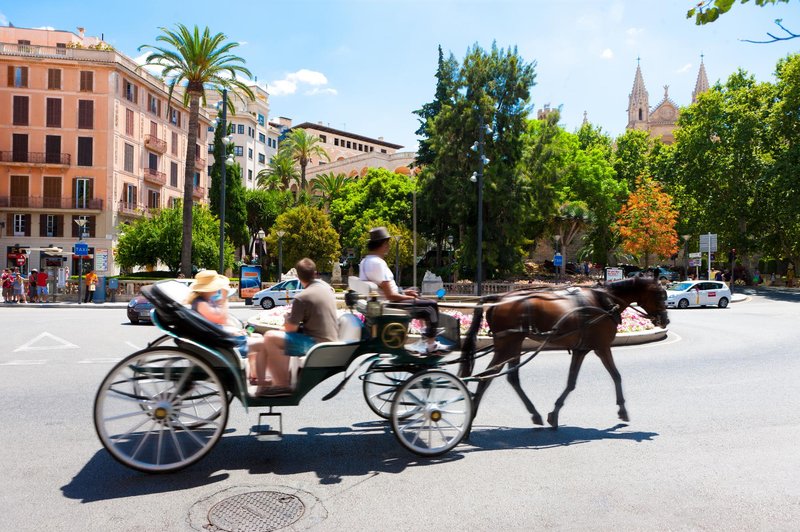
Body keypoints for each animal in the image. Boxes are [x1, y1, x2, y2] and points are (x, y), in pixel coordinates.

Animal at [456, 276, 668, 430]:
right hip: (508, 344)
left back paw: (533, 414)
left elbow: (571, 382)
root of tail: (498, 298)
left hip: (513, 344)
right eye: (660, 295)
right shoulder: (602, 347)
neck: (604, 302)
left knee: (509, 378)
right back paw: (470, 422)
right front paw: (622, 409)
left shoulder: (581, 350)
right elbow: (616, 375)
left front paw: (554, 413)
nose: (666, 320)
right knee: (486, 377)